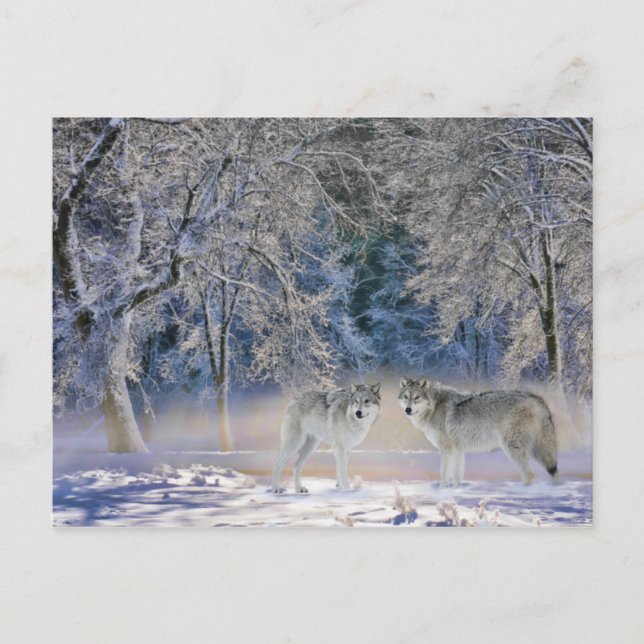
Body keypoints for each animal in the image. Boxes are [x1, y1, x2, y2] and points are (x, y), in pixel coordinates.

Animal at [398, 377, 559, 486]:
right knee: (552, 471)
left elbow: (444, 474)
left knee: (530, 475)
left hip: (513, 448)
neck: (434, 406)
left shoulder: (447, 449)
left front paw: (442, 491)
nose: (408, 410)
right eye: (406, 397)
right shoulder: (458, 451)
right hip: (535, 450)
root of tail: (538, 399)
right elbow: (457, 477)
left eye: (417, 397)